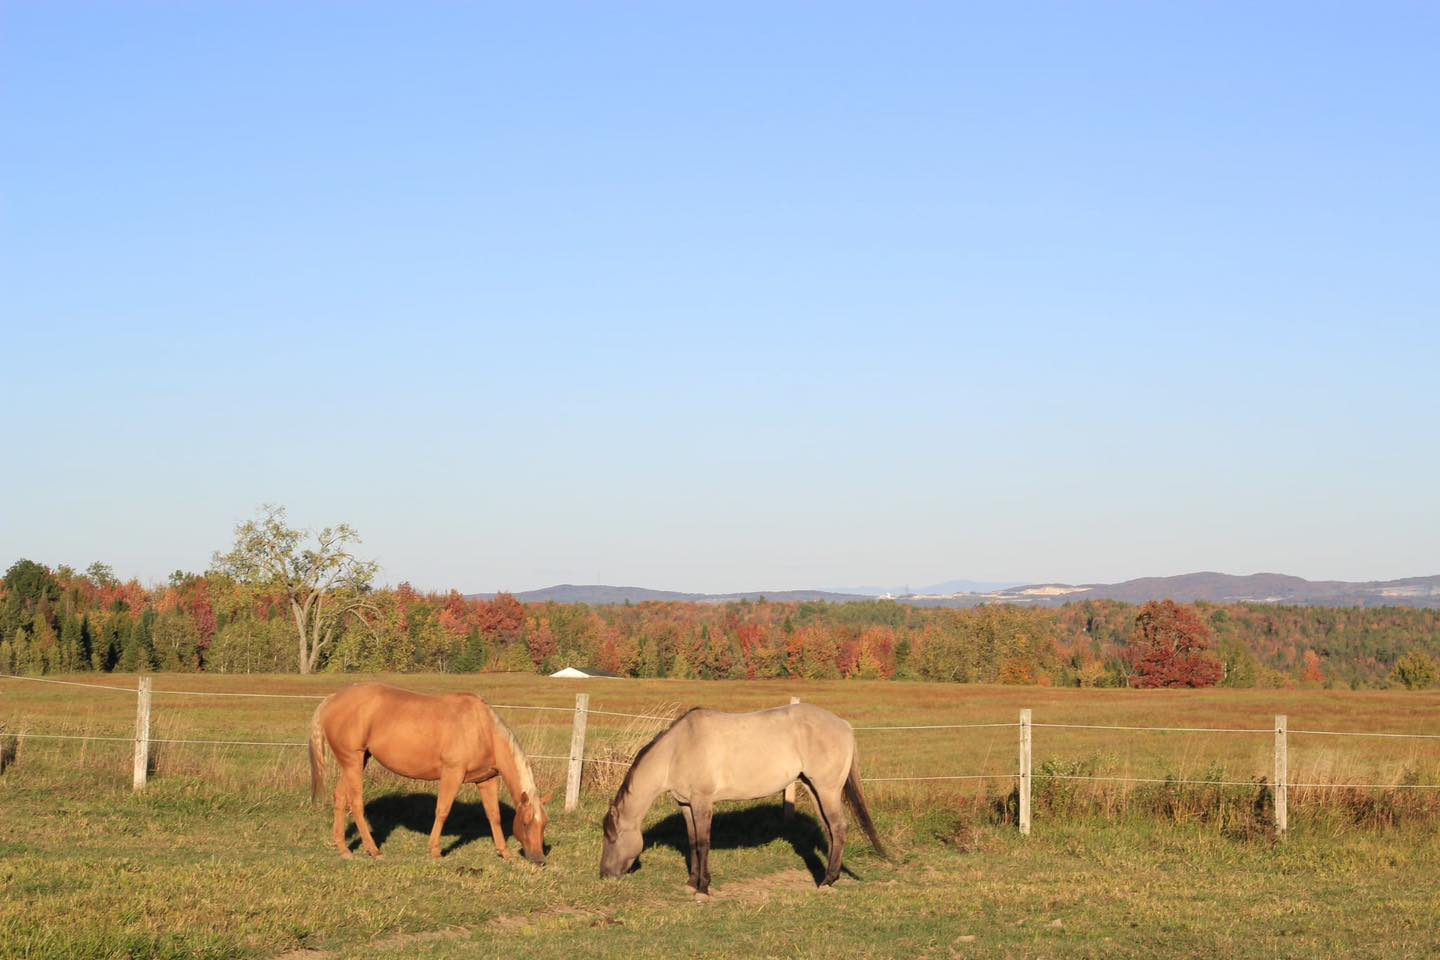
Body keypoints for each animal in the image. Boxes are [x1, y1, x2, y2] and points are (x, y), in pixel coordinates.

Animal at [309, 682, 551, 863]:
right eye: (526, 823)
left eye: (545, 824)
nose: (539, 859)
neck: (482, 729)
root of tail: (332, 699)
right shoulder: (453, 773)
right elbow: (442, 810)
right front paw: (435, 851)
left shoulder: (487, 780)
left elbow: (494, 815)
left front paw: (504, 852)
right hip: (353, 761)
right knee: (356, 803)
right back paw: (374, 850)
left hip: (356, 762)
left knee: (341, 798)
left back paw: (343, 849)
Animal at [599, 703, 888, 893]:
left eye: (611, 838)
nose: (604, 875)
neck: (677, 750)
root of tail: (845, 726)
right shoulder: (686, 804)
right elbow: (692, 842)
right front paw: (692, 882)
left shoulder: (702, 802)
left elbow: (703, 843)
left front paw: (703, 887)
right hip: (814, 788)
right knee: (831, 830)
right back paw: (828, 876)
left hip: (827, 789)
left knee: (839, 827)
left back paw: (828, 880)